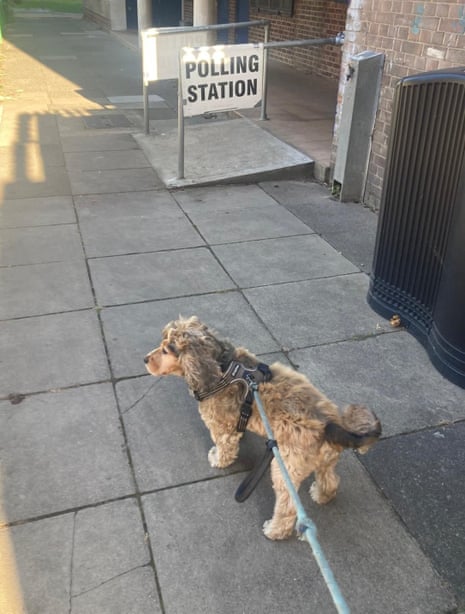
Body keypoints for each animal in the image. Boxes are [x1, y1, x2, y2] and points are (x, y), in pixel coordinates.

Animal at [145, 318, 380, 540]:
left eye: (166, 350)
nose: (145, 359)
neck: (222, 366)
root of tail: (331, 424)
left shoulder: (221, 427)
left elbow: (224, 447)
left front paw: (218, 459)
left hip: (284, 469)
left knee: (288, 507)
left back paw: (275, 530)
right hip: (326, 461)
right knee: (330, 481)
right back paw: (321, 495)